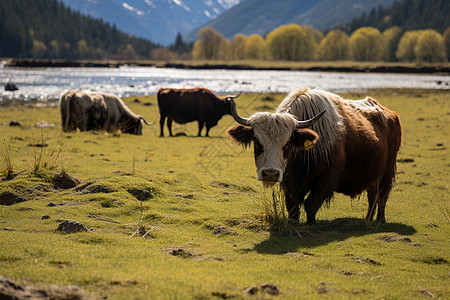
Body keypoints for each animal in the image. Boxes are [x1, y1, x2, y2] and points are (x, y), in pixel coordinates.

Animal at [229, 86, 400, 225]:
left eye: (287, 143)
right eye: (257, 141)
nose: (270, 174)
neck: (302, 159)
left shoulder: (325, 181)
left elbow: (311, 205)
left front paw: (311, 225)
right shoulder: (289, 184)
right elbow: (293, 208)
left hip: (387, 172)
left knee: (382, 196)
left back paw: (379, 220)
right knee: (373, 195)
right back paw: (368, 220)